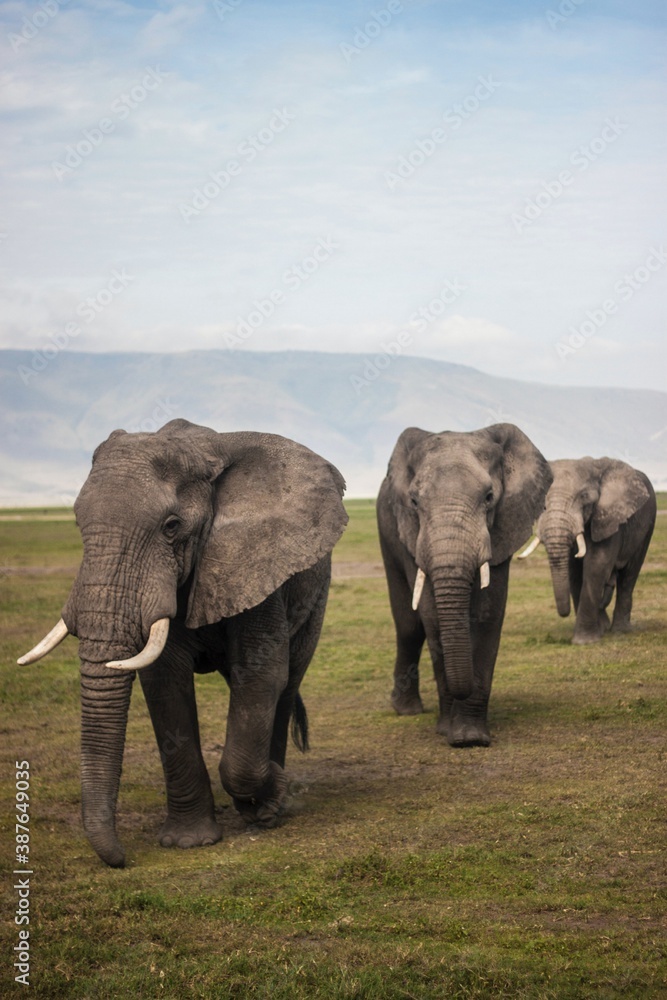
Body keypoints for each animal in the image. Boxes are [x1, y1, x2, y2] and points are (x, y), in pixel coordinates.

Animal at [18, 418, 350, 864]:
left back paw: (269, 808)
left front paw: (269, 797)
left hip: (317, 594)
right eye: (75, 522)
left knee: (287, 681)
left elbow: (260, 675)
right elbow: (164, 682)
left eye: (171, 526)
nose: (122, 859)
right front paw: (188, 842)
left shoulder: (255, 562)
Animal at [376, 426, 552, 748]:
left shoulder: (502, 528)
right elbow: (432, 617)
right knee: (409, 625)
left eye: (489, 497)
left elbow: (487, 615)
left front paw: (470, 737)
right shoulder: (412, 534)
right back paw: (406, 710)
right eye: (414, 502)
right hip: (387, 530)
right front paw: (448, 731)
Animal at [516, 458, 656, 644]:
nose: (564, 613)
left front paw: (584, 642)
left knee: (629, 575)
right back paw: (605, 627)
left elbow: (597, 564)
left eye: (584, 497)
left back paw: (620, 630)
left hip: (648, 525)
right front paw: (597, 632)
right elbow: (574, 571)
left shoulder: (609, 518)